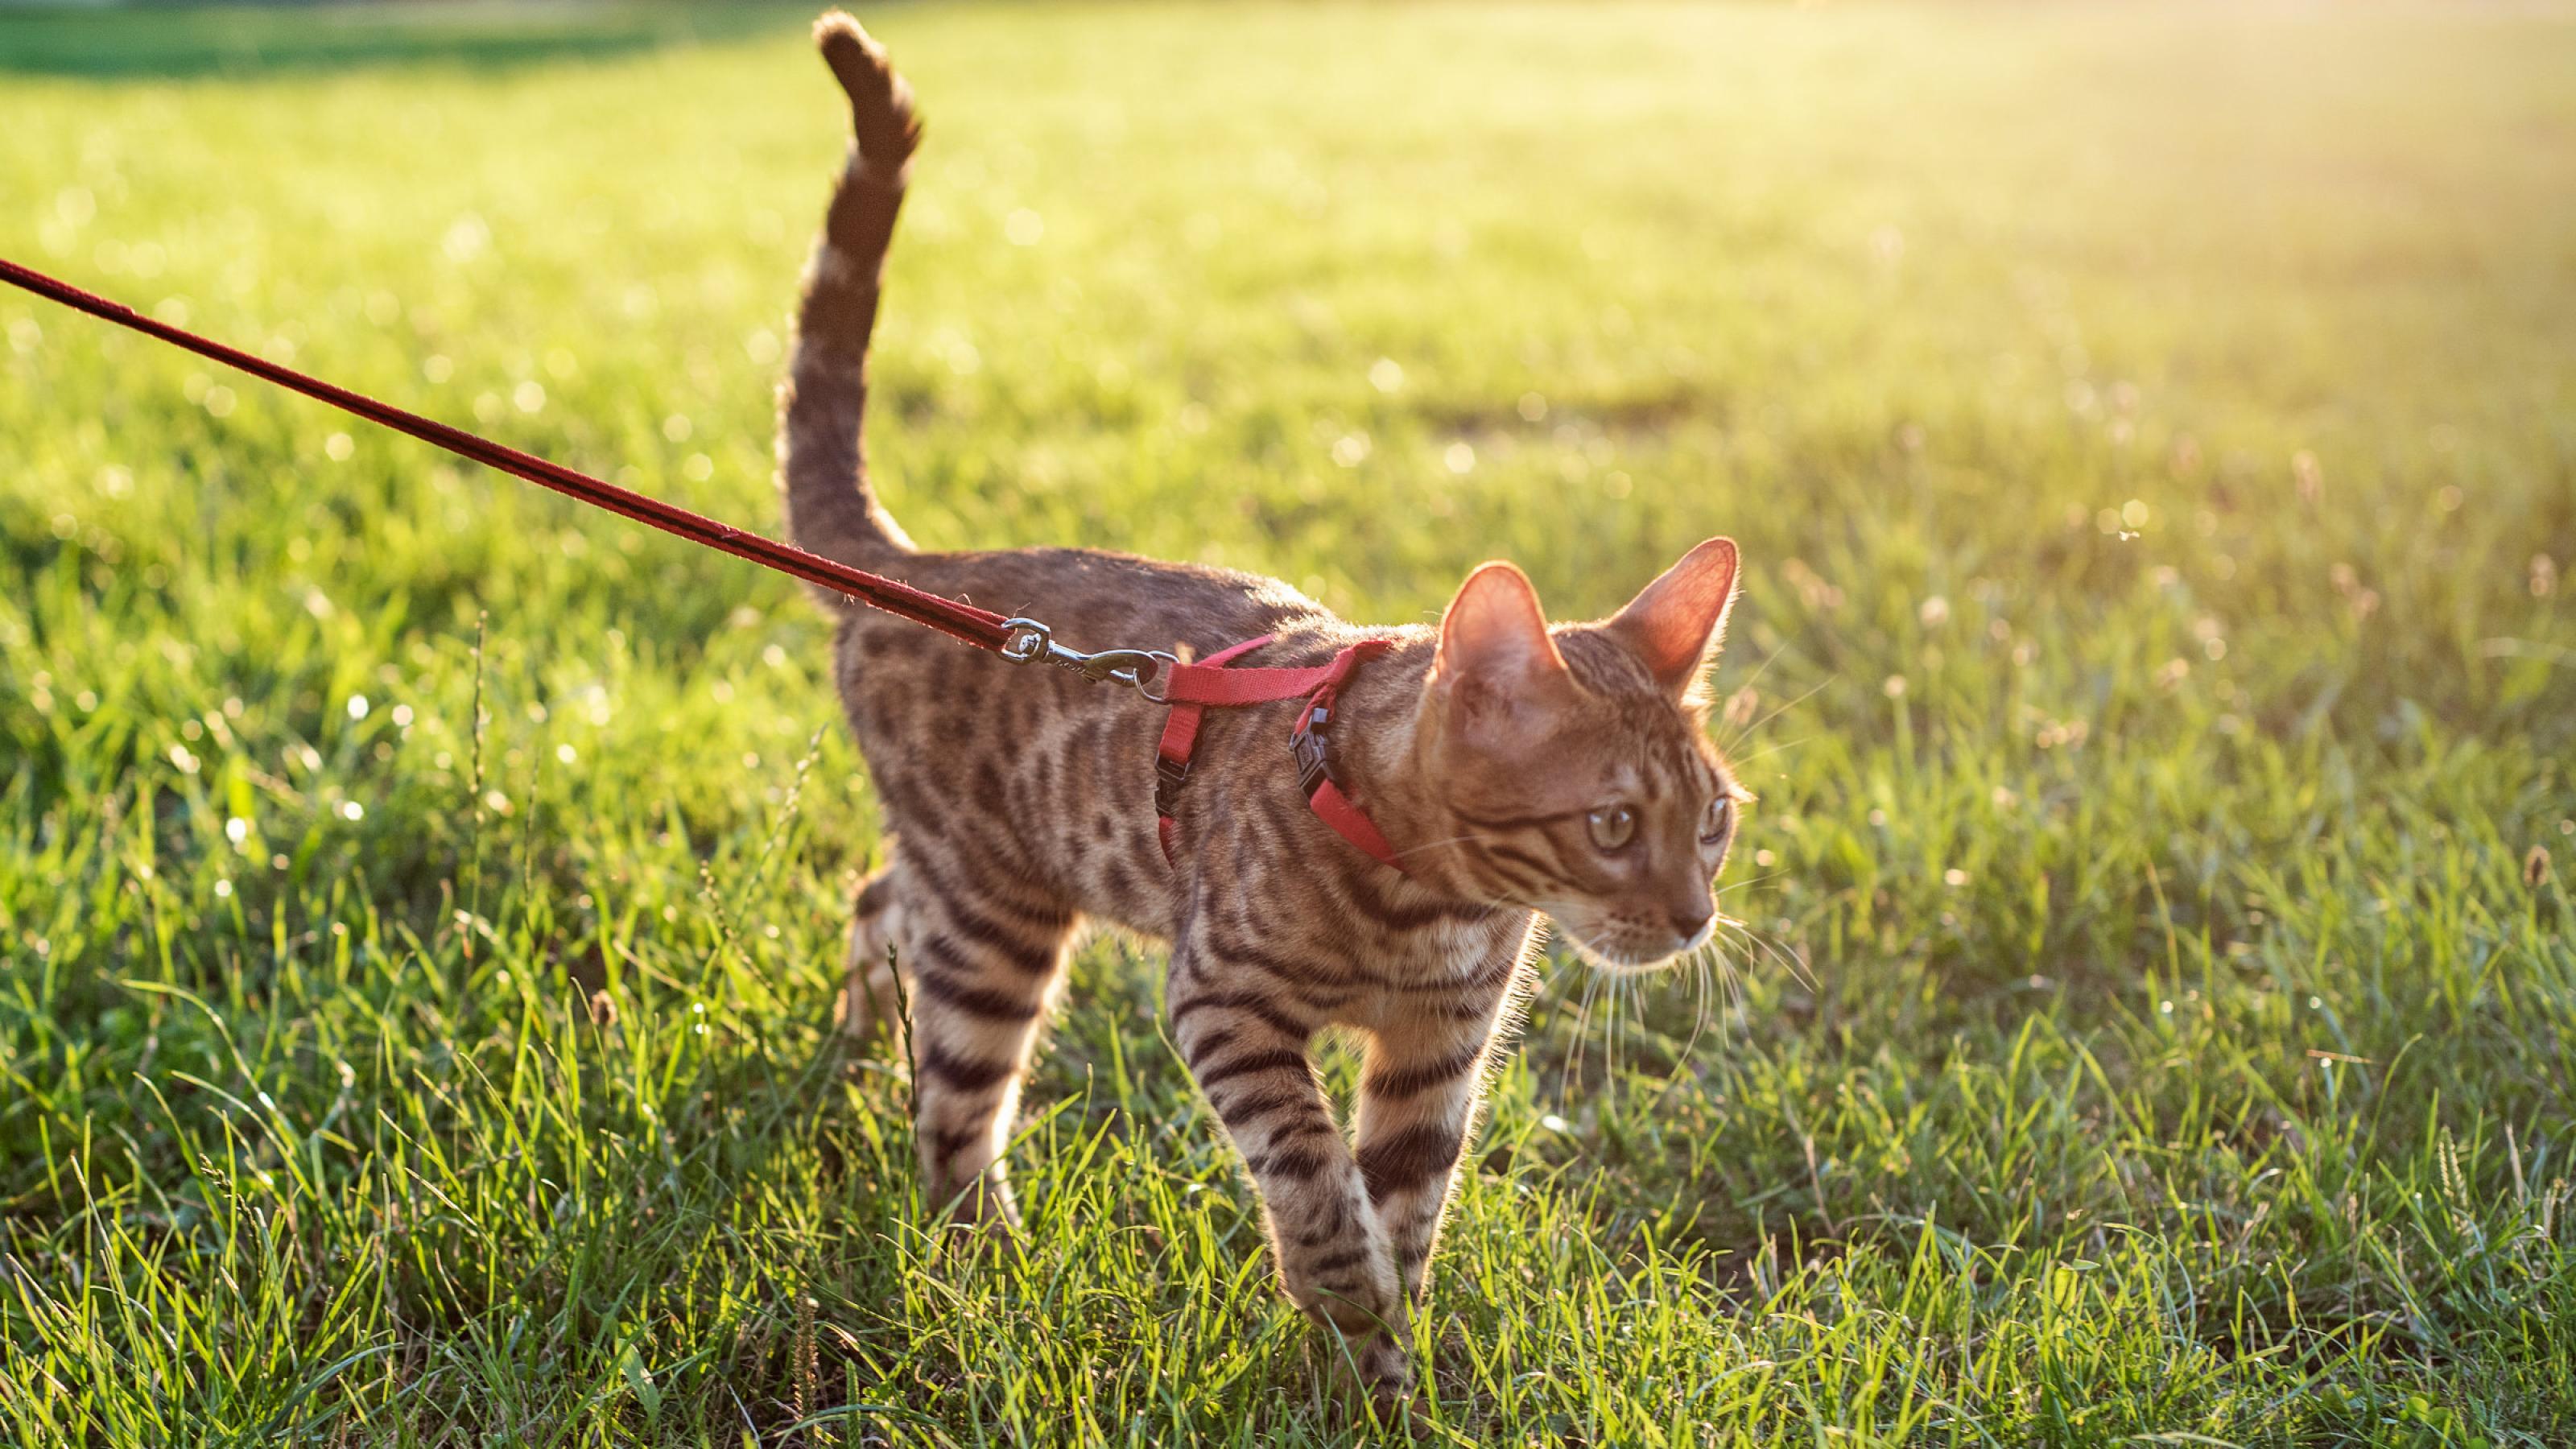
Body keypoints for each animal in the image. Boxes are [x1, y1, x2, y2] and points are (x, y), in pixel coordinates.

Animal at [782, 14, 1752, 1413]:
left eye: (1715, 820)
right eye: (1615, 824)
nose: (1694, 919)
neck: (1430, 898)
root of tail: (923, 566)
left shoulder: (1442, 1045)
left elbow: (1408, 1202)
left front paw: (1384, 1380)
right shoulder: (1225, 1000)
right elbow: (1313, 1173)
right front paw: (1342, 1296)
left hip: (979, 877)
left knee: (876, 902)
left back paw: (861, 1042)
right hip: (995, 913)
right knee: (957, 1102)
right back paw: (983, 1270)